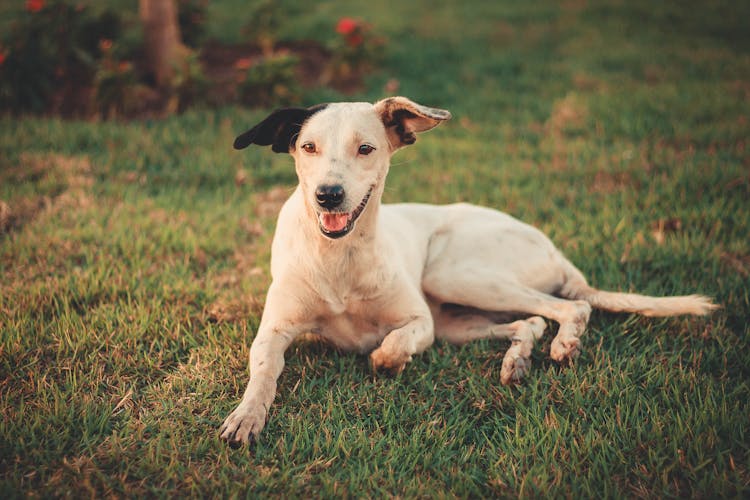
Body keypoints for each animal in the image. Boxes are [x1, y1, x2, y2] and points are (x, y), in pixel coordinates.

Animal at [219, 96, 724, 446]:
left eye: (365, 148)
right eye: (308, 147)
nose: (328, 195)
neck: (338, 257)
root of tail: (555, 250)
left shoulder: (420, 324)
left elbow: (390, 345)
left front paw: (385, 360)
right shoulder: (274, 331)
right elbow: (263, 373)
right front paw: (246, 416)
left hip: (453, 276)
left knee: (572, 308)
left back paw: (564, 346)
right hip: (454, 319)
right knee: (532, 320)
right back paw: (517, 360)